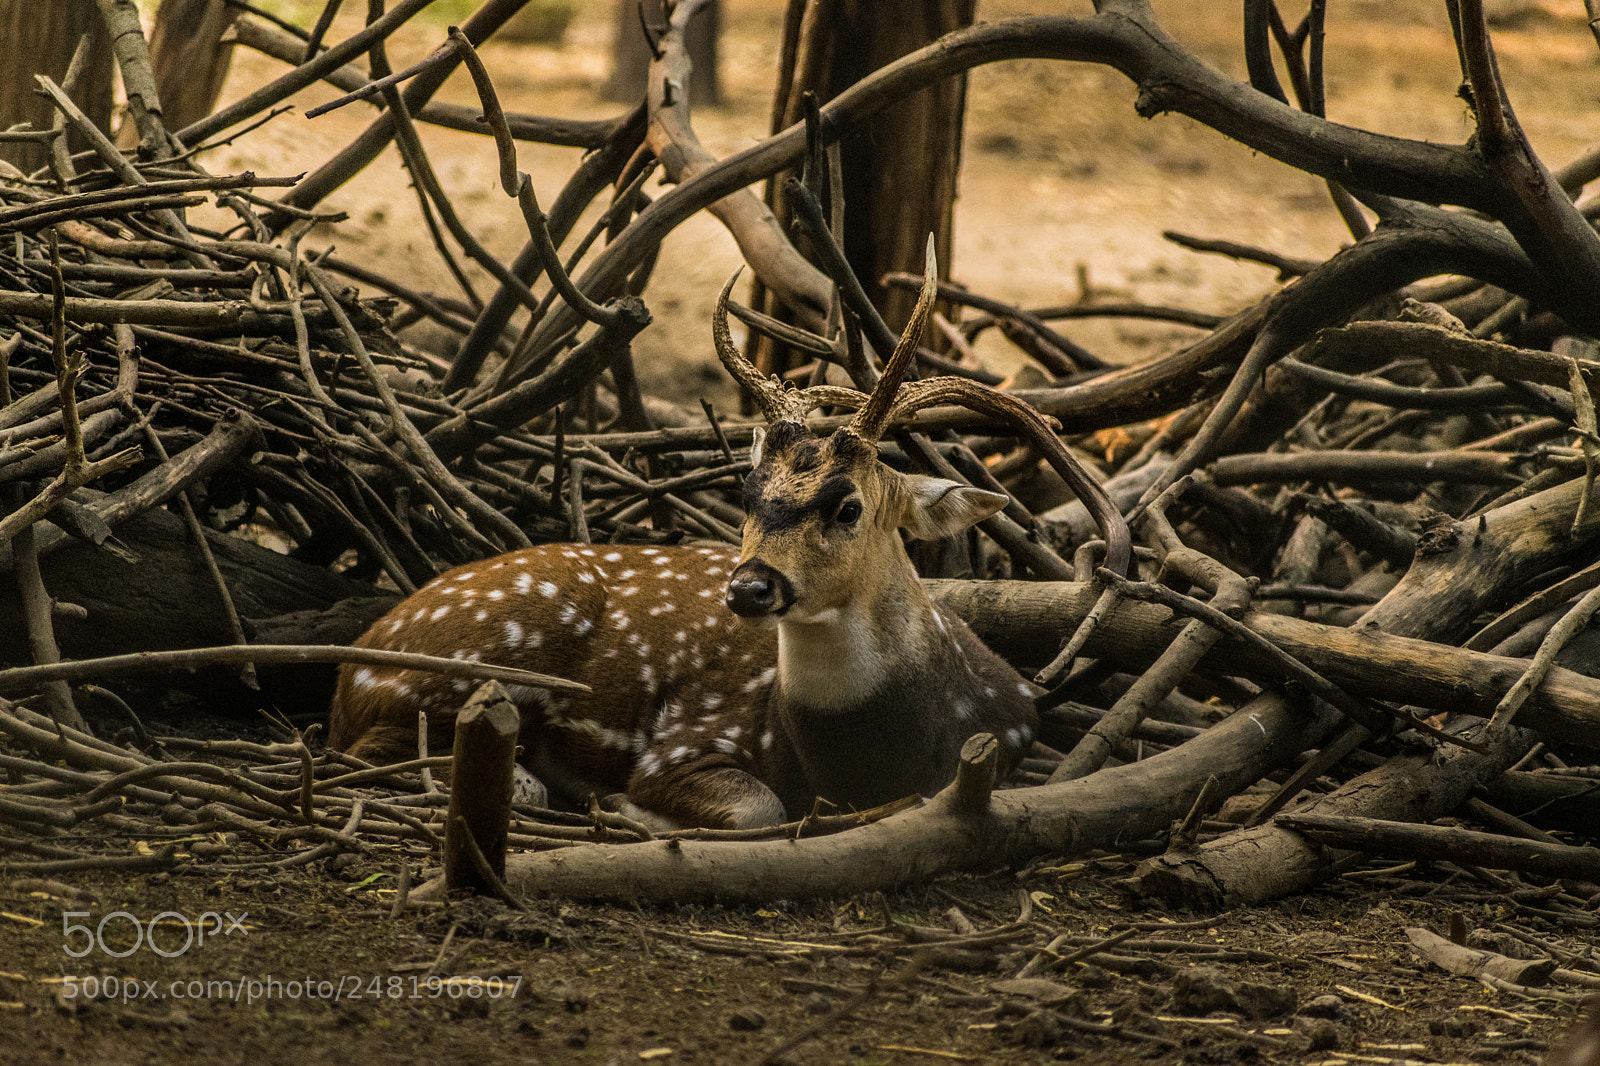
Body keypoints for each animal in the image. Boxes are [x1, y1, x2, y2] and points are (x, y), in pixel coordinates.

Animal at [329, 242, 1127, 830]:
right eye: (745, 493)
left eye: (847, 505)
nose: (749, 586)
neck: (867, 759)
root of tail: (350, 670)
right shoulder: (685, 742)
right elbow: (755, 809)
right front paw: (626, 805)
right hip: (463, 671)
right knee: (379, 756)